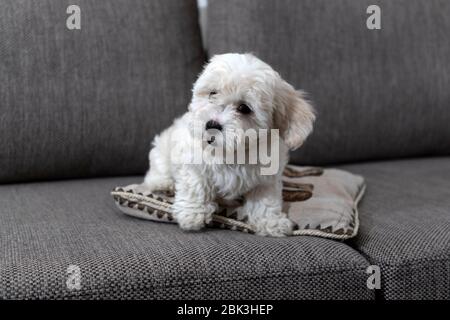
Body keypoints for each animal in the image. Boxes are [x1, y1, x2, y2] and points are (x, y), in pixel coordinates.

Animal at [142, 53, 314, 236]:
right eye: (212, 93)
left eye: (244, 108)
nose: (211, 124)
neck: (231, 151)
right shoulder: (192, 161)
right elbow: (195, 185)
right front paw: (192, 214)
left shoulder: (266, 177)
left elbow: (265, 200)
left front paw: (271, 222)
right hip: (161, 150)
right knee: (157, 170)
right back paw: (163, 184)